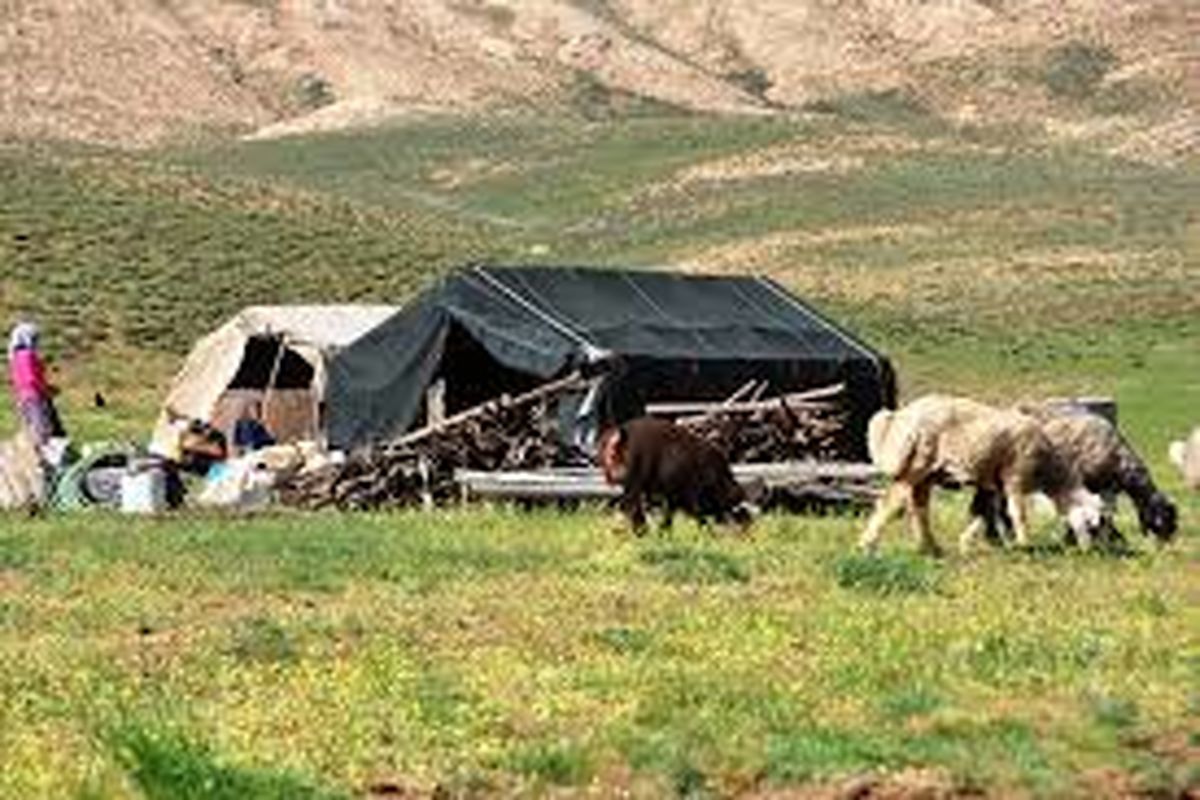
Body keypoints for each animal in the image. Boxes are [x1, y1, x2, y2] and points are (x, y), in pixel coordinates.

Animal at [969, 402, 1176, 546]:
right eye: (1165, 518)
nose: (1166, 545)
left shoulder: (1099, 487)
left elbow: (1102, 512)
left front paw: (1108, 536)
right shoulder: (1083, 482)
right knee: (991, 506)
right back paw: (998, 537)